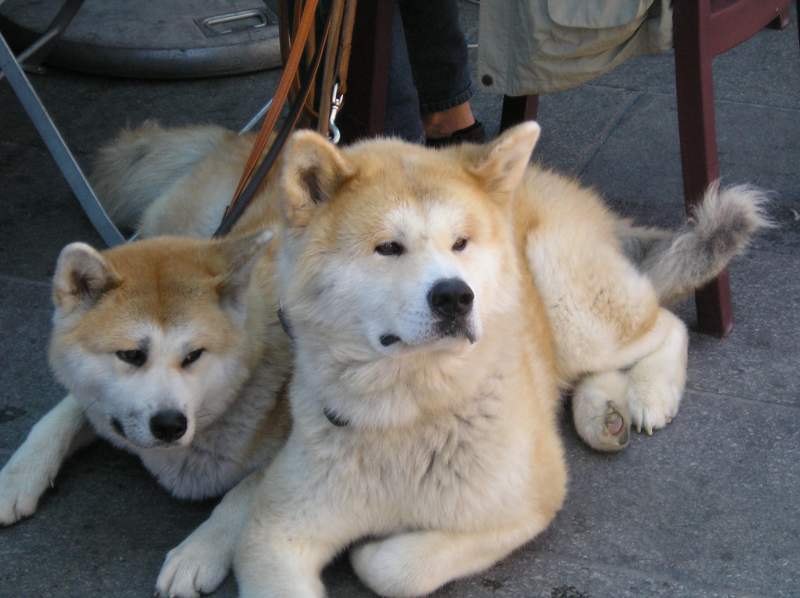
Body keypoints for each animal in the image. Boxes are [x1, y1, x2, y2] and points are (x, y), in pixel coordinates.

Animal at [0, 121, 767, 597]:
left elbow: (388, 564)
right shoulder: (279, 529)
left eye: (460, 244)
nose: (455, 296)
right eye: (388, 248)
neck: (407, 414)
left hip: (569, 296)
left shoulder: (525, 504)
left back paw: (645, 395)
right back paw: (599, 409)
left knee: (661, 322)